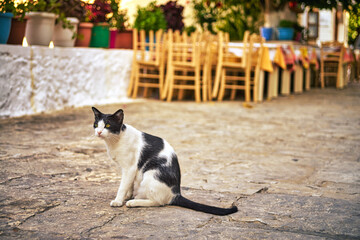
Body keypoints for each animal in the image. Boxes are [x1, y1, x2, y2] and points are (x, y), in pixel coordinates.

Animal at [93, 107, 238, 216]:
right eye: (96, 125)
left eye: (107, 125)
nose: (99, 132)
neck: (115, 140)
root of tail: (175, 193)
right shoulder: (127, 170)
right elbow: (128, 185)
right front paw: (126, 196)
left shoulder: (130, 168)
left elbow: (122, 186)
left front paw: (118, 200)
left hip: (150, 174)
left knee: (158, 202)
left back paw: (135, 202)